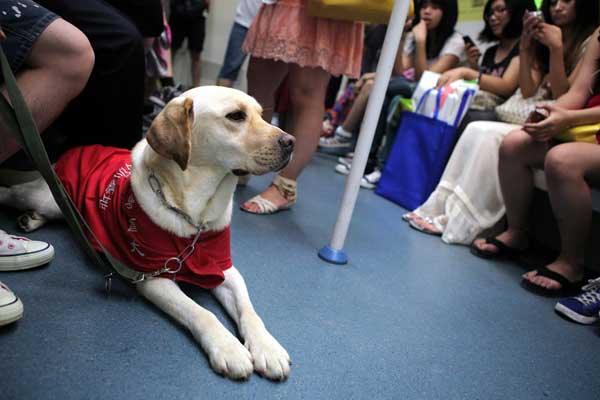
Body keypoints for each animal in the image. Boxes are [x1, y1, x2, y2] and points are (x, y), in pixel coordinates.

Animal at [0, 86, 294, 380]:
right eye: (235, 116)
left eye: (261, 115)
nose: (291, 142)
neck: (195, 216)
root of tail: (78, 148)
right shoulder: (153, 278)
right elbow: (201, 313)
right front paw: (229, 348)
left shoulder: (226, 270)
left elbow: (249, 311)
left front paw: (267, 347)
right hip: (44, 196)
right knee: (13, 193)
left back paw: (31, 219)